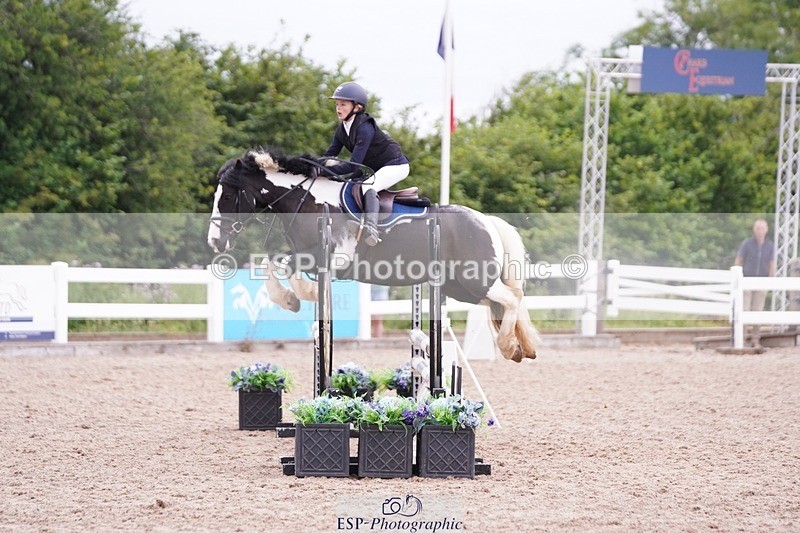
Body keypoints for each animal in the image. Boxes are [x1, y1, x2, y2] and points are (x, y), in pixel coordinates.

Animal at [207, 148, 538, 362]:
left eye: (228, 196)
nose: (215, 242)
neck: (307, 200)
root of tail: (487, 220)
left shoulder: (332, 258)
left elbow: (287, 268)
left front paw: (303, 294)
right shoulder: (304, 252)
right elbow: (271, 263)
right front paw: (291, 299)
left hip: (476, 280)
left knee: (513, 298)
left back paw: (509, 347)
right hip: (463, 288)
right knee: (501, 304)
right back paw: (520, 348)